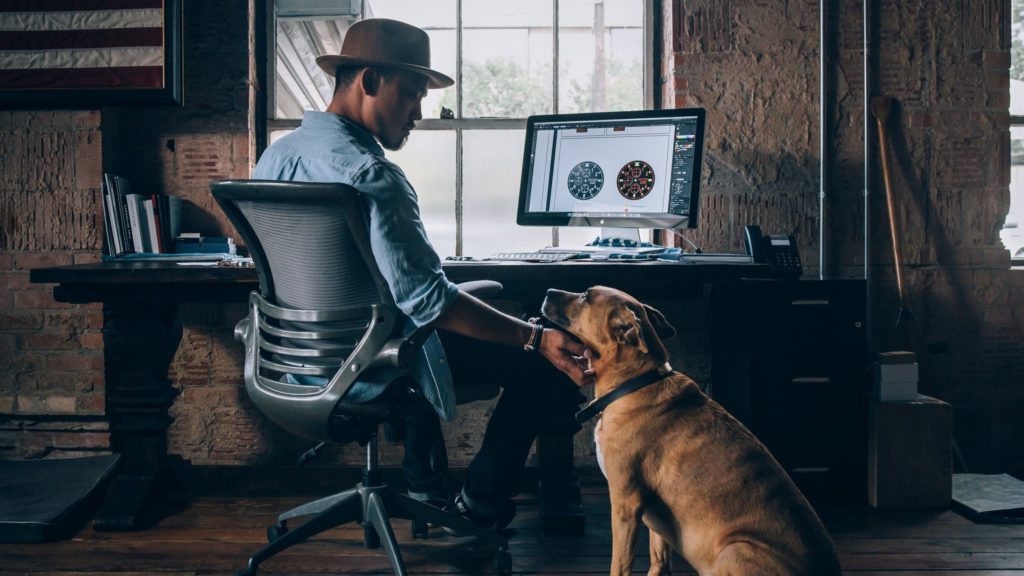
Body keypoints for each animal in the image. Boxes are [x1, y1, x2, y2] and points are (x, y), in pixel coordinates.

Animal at [544, 284, 839, 573]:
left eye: (585, 297)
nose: (547, 292)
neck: (635, 383)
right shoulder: (656, 521)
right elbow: (660, 561)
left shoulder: (625, 504)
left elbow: (620, 565)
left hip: (733, 550)